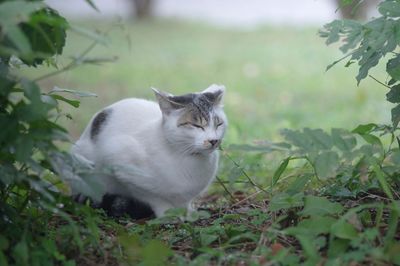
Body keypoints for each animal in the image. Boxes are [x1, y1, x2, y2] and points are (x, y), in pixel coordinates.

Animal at [71, 84, 228, 218]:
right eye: (196, 125)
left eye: (219, 124)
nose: (213, 140)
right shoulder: (120, 163)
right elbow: (156, 199)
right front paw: (168, 215)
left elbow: (186, 202)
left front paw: (189, 214)